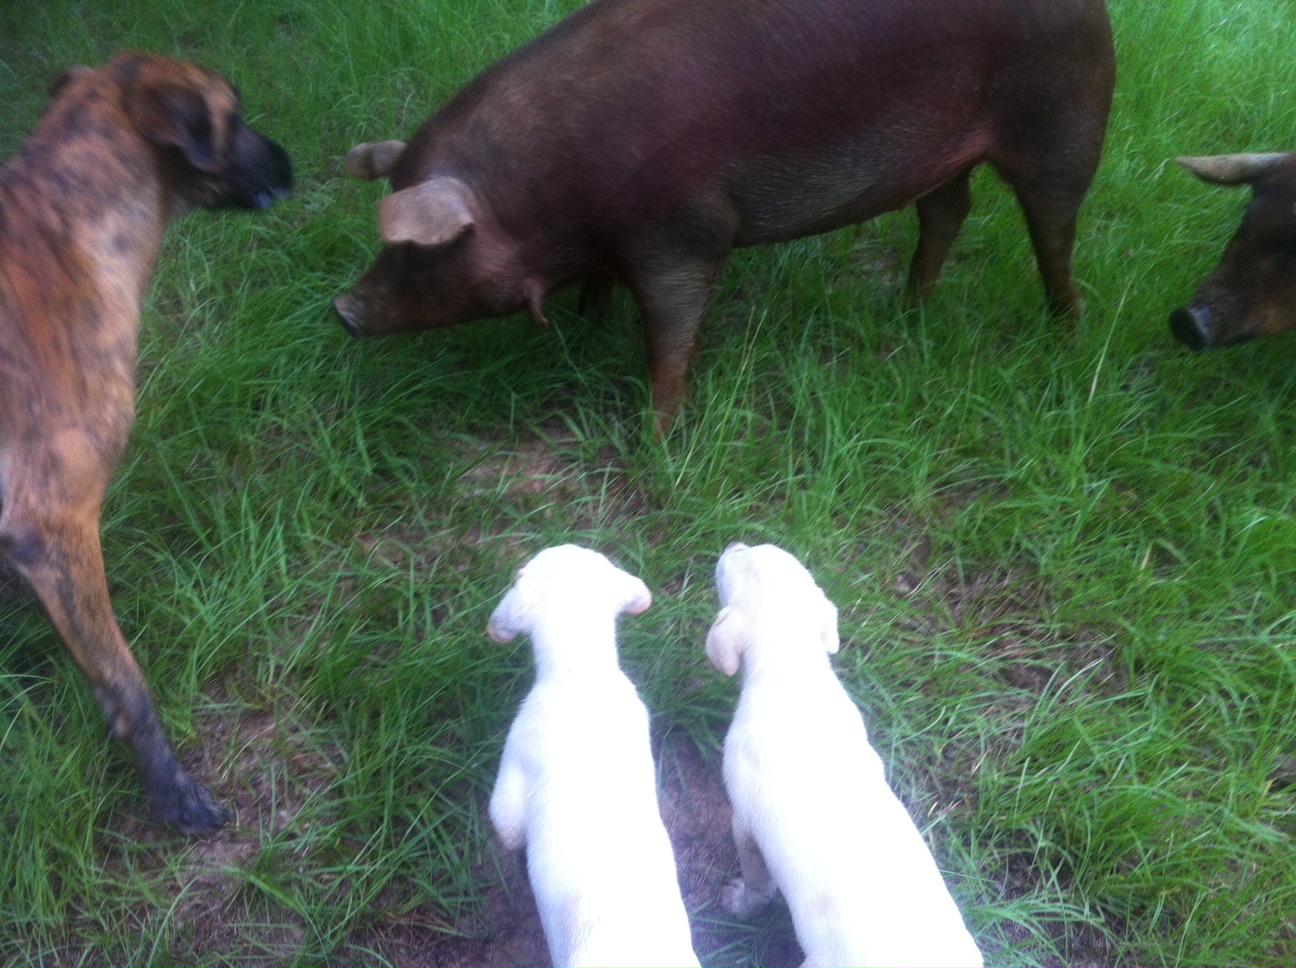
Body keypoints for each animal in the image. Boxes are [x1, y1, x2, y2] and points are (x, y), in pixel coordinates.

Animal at [0, 52, 293, 834]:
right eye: (234, 112)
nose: (290, 158)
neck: (65, 223)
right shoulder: (56, 524)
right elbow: (125, 680)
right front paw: (170, 788)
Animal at [335, 0, 1116, 426]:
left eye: (418, 250)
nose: (342, 308)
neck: (546, 207)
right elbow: (599, 293)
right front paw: (583, 336)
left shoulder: (685, 234)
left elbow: (671, 336)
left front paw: (656, 435)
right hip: (941, 156)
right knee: (950, 209)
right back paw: (909, 311)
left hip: (1066, 119)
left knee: (1053, 229)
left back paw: (1069, 336)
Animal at [706, 543, 983, 968]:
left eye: (732, 564)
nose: (734, 545)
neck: (793, 672)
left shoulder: (745, 823)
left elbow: (757, 883)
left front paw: (741, 904)